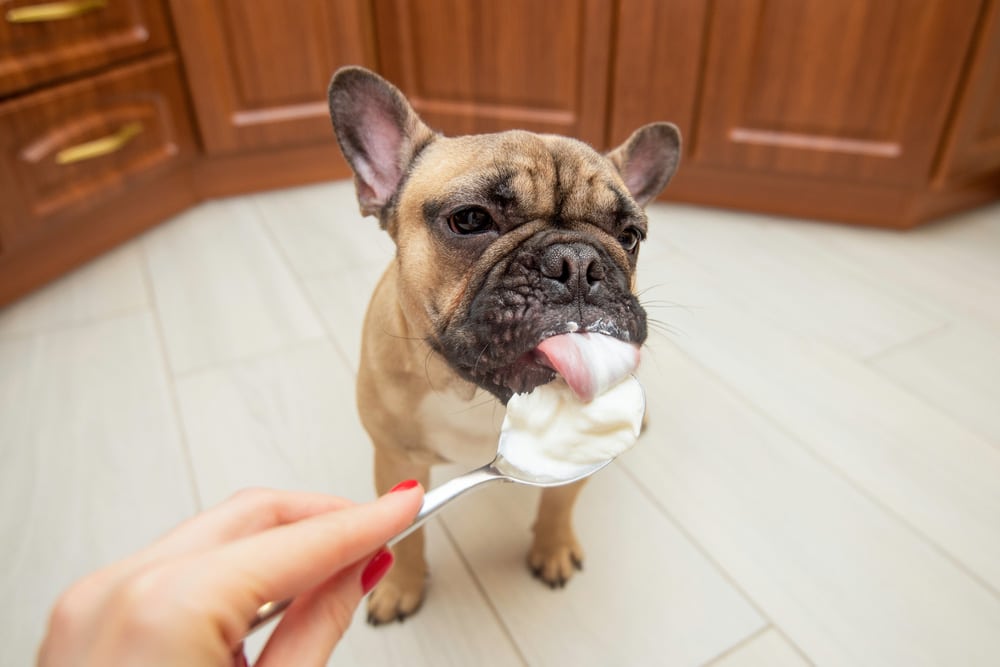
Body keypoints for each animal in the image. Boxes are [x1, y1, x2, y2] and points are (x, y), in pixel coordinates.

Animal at [328, 65, 680, 624]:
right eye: (470, 219)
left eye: (630, 236)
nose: (578, 263)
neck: (476, 393)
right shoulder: (397, 462)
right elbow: (405, 534)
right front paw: (400, 585)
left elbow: (558, 503)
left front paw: (552, 549)